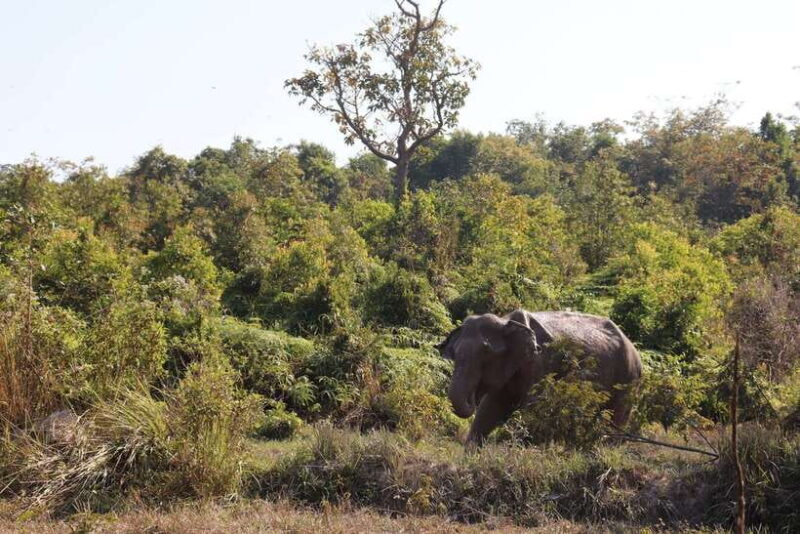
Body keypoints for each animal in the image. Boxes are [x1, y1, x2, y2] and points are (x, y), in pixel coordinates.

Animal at [436, 309, 643, 445]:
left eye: (486, 352)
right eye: (454, 353)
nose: (473, 397)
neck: (506, 321)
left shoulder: (541, 363)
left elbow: (533, 410)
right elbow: (489, 409)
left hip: (628, 381)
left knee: (617, 417)